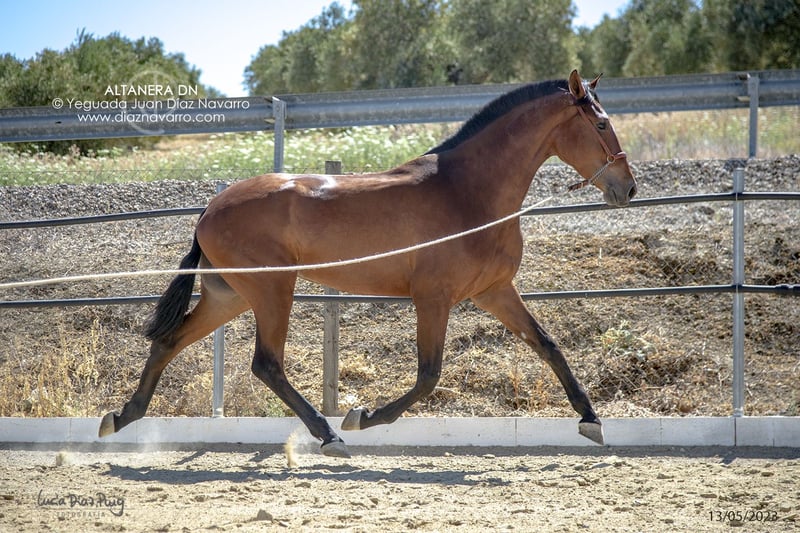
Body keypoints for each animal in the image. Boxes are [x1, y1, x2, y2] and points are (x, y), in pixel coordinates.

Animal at [99, 70, 636, 457]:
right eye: (602, 123)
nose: (628, 189)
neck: (468, 193)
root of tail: (210, 208)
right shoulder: (433, 298)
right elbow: (428, 375)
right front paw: (363, 416)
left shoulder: (494, 291)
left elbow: (548, 345)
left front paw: (591, 420)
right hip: (272, 291)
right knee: (265, 363)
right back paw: (330, 435)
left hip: (228, 295)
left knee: (170, 341)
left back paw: (120, 417)